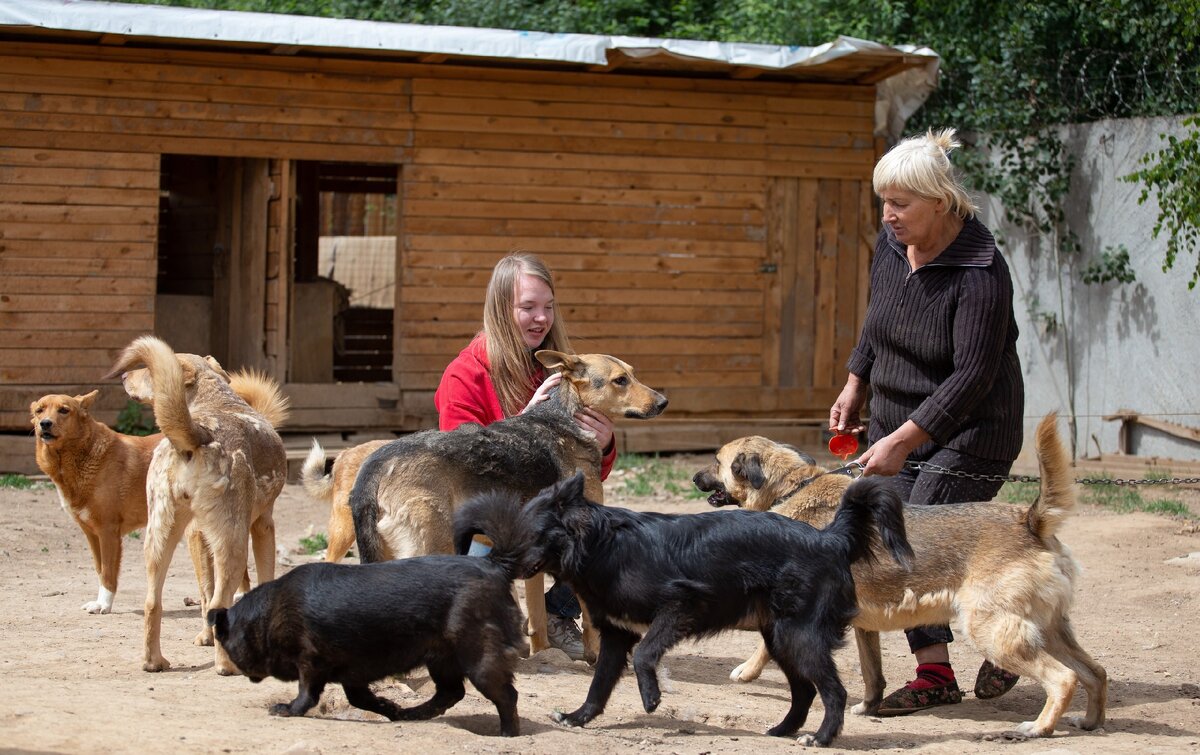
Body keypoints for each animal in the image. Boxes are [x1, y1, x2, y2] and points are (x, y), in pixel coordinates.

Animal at [110, 336, 292, 672]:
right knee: (219, 602)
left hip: (160, 539)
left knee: (154, 602)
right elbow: (263, 578)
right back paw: (226, 666)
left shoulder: (199, 533)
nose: (124, 376)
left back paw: (153, 661)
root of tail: (200, 434)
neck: (215, 400)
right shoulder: (263, 526)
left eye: (146, 370)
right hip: (232, 544)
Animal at [350, 350, 667, 657]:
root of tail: (377, 463)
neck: (567, 418)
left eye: (633, 373)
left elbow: (537, 619)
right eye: (620, 380)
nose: (664, 402)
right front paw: (597, 656)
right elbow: (591, 621)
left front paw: (541, 654)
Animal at [453, 470, 912, 744]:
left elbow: (645, 655)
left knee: (834, 691)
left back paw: (821, 737)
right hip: (781, 637)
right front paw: (578, 717)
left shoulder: (682, 604)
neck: (602, 546)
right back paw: (783, 729)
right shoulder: (615, 636)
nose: (495, 563)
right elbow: (598, 686)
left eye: (526, 532)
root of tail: (830, 538)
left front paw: (652, 697)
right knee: (804, 691)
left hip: (798, 636)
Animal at [696, 412, 1104, 734]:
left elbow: (764, 647)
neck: (793, 488)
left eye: (717, 461)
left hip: (991, 631)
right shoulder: (863, 625)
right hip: (1050, 630)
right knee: (1093, 672)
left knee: (1064, 678)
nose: (695, 478)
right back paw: (1090, 722)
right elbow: (872, 674)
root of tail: (1029, 521)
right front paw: (868, 707)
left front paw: (747, 671)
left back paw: (1039, 727)